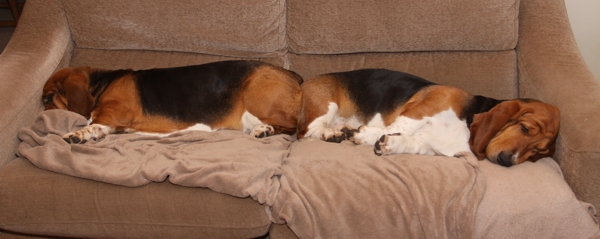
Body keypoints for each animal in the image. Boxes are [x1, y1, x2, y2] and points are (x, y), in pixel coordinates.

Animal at [41, 60, 302, 143]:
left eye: (47, 98)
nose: (40, 113)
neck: (102, 83)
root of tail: (295, 76)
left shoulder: (113, 114)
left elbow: (93, 123)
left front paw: (76, 133)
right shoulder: (111, 122)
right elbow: (97, 127)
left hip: (256, 100)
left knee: (293, 127)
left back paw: (264, 130)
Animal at [298, 68, 560, 166]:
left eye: (535, 152)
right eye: (525, 128)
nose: (507, 161)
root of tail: (303, 82)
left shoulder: (429, 145)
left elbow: (410, 142)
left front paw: (388, 144)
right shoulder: (421, 110)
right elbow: (396, 126)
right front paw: (364, 135)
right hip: (327, 106)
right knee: (307, 131)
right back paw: (332, 133)